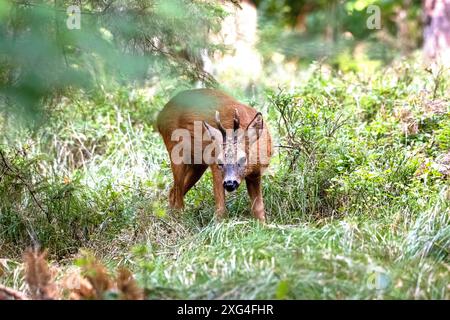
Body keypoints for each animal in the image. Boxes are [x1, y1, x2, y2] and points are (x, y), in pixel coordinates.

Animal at [156, 88, 272, 222]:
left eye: (243, 159)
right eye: (220, 162)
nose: (230, 183)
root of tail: (160, 116)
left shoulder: (256, 174)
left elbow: (258, 209)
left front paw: (263, 224)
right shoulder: (214, 165)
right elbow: (220, 210)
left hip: (197, 165)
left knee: (172, 192)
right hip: (175, 150)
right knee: (178, 195)